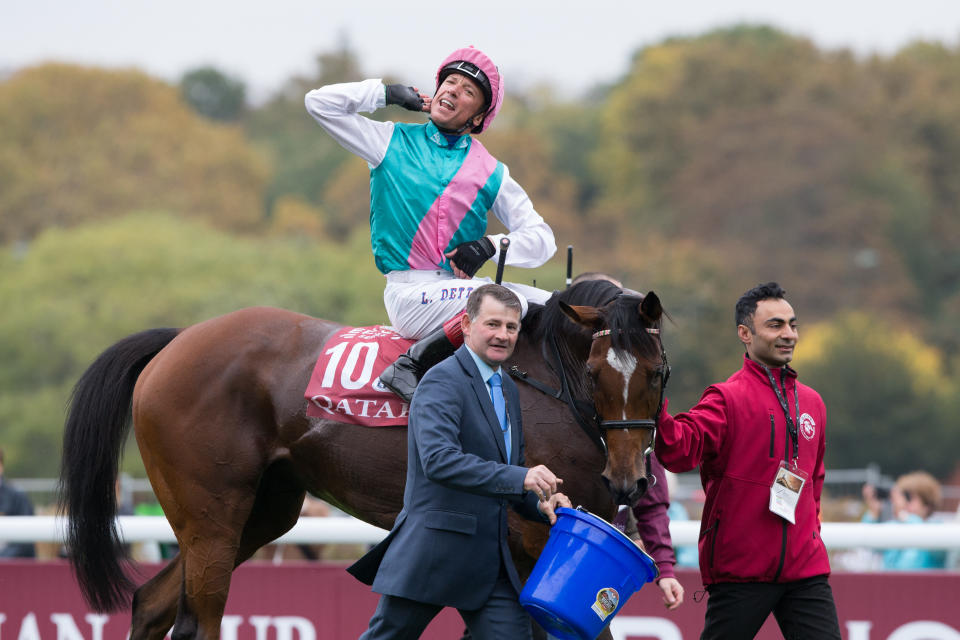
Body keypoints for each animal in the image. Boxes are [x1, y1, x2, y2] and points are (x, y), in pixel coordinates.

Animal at [56, 282, 664, 640]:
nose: (627, 479)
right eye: (595, 373)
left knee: (150, 604)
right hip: (211, 517)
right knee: (198, 623)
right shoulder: (539, 536)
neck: (547, 378)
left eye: (656, 373)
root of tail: (177, 341)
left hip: (259, 514)